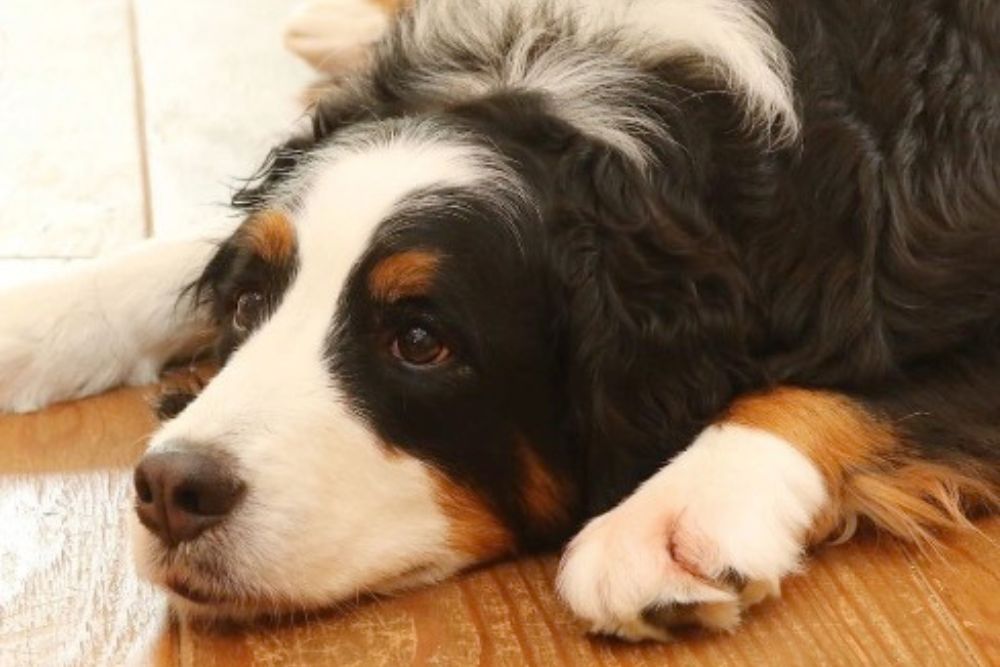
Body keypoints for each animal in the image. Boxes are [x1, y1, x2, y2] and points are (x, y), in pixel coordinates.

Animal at [1, 0, 998, 642]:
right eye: (251, 304)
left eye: (419, 341)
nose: (172, 488)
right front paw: (34, 316)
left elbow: (831, 392)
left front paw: (677, 514)